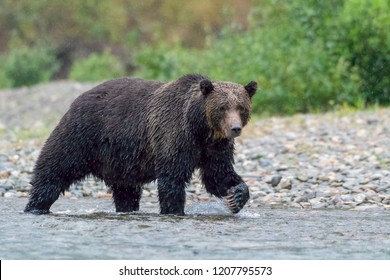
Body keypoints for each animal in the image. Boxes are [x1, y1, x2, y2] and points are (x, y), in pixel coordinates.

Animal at [23, 73, 256, 215]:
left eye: (241, 107)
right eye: (222, 107)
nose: (235, 128)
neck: (200, 128)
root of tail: (77, 99)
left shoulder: (214, 147)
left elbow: (218, 175)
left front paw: (235, 197)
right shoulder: (174, 135)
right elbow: (172, 178)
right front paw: (174, 210)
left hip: (120, 161)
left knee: (126, 191)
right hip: (81, 136)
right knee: (54, 169)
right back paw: (35, 206)